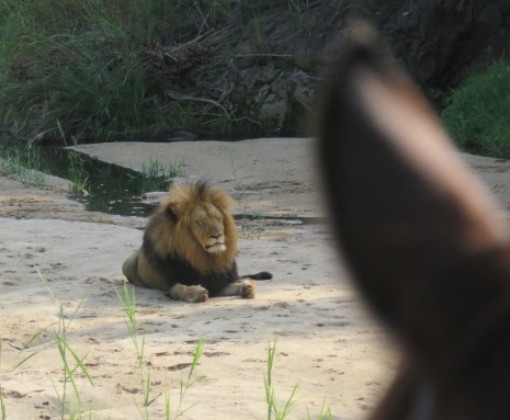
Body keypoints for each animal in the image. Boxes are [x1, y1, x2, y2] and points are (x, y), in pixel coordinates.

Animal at [122, 179, 272, 304]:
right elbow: (178, 289)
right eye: (200, 222)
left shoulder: (218, 283)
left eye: (217, 218)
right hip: (126, 265)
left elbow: (239, 284)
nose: (218, 235)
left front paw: (247, 287)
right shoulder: (170, 284)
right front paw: (195, 293)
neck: (201, 256)